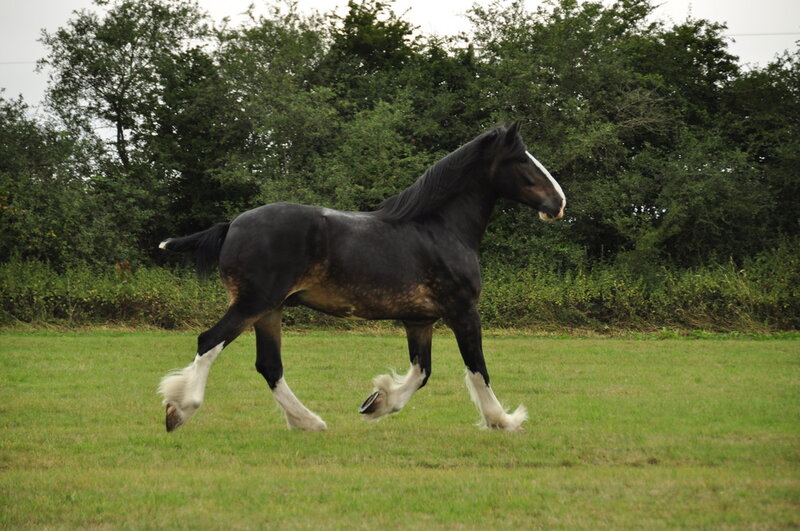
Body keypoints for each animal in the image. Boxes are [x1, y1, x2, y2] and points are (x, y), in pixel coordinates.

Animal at [157, 121, 566, 432]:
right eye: (521, 160)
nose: (559, 203)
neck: (439, 229)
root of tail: (232, 226)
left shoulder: (420, 320)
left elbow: (422, 372)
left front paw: (377, 402)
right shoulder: (463, 312)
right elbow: (477, 368)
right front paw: (504, 421)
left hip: (269, 311)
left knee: (269, 365)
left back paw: (309, 422)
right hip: (253, 304)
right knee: (210, 341)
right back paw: (180, 409)